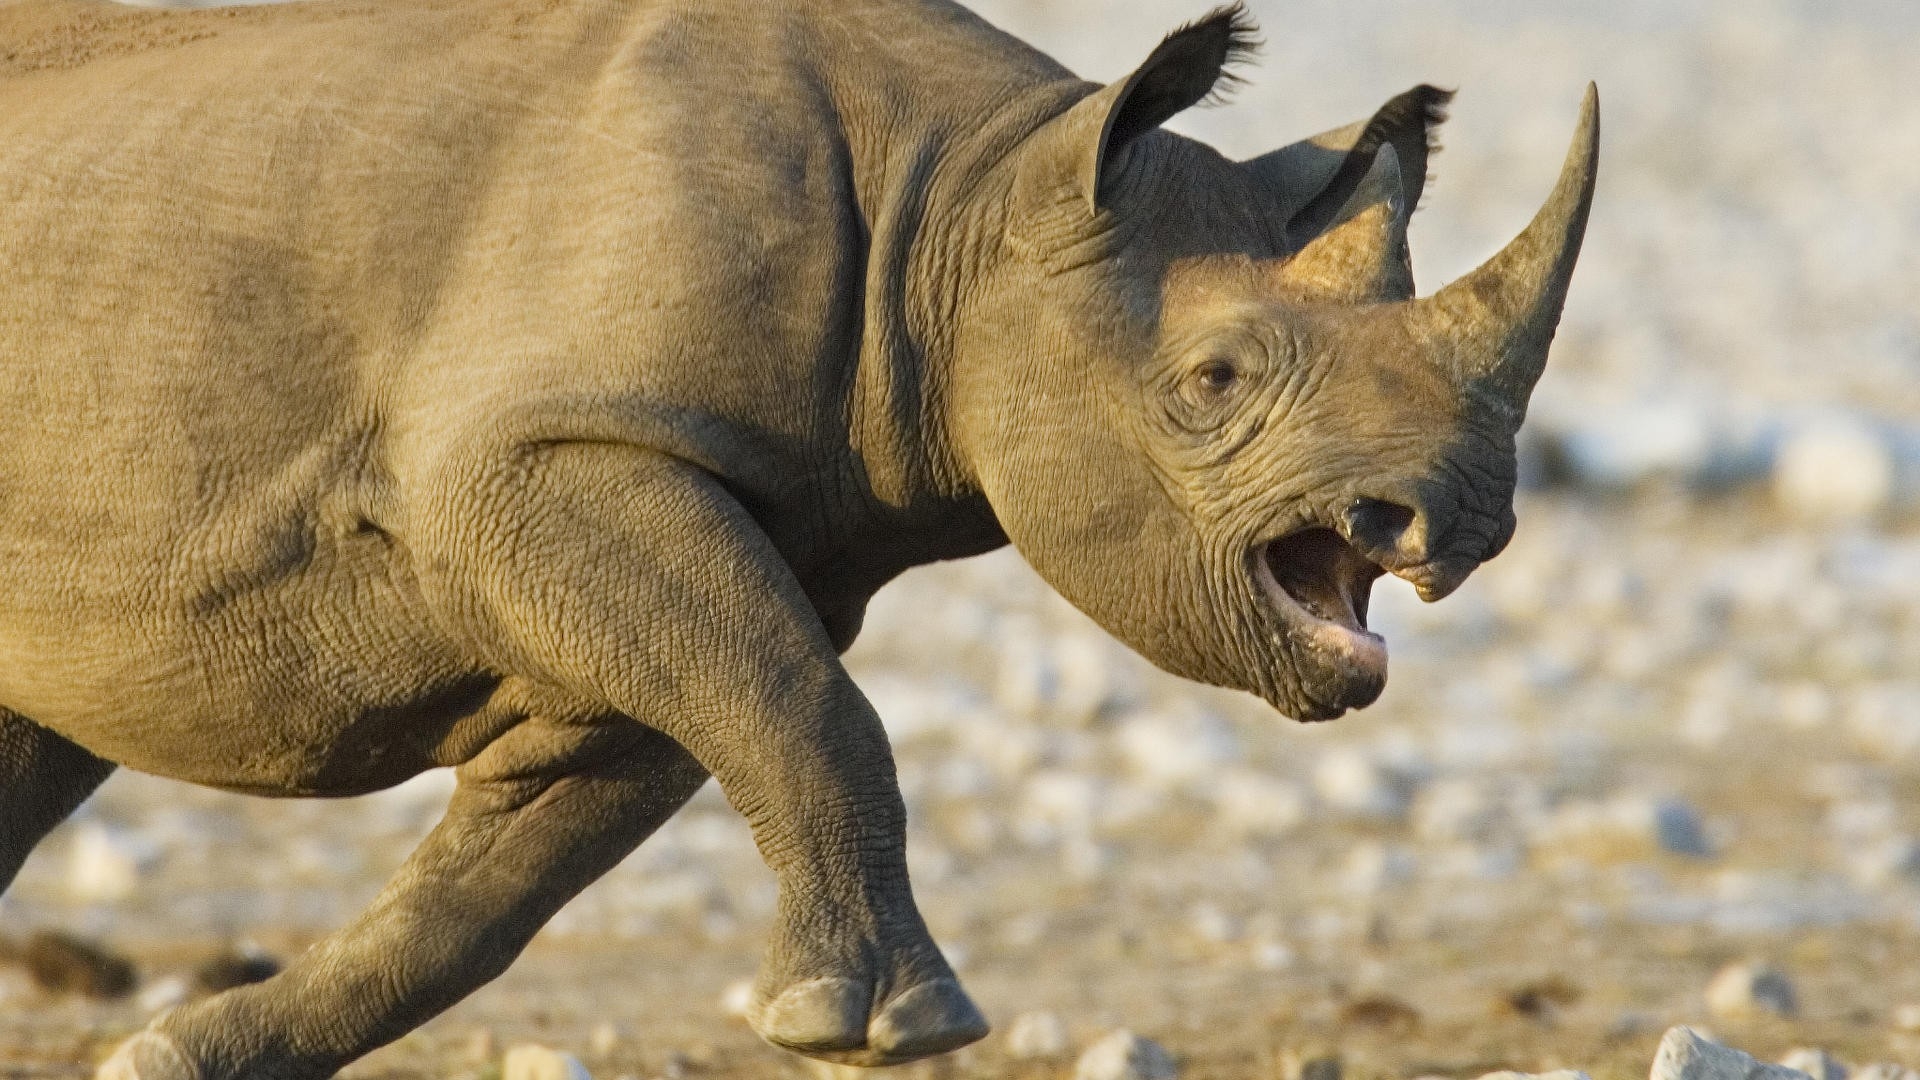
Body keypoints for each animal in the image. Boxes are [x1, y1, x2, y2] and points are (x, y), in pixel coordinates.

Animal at [0, 0, 1598, 1074]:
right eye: (1213, 382)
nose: (1459, 516)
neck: (968, 201)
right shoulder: (551, 456)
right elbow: (811, 714)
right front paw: (889, 1026)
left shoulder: (677, 539)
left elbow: (500, 882)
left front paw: (179, 1058)